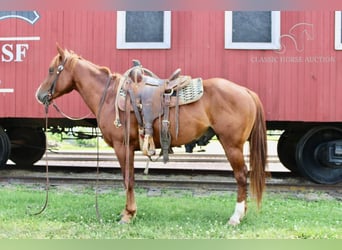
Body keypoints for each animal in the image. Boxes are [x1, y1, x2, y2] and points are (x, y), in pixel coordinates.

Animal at [36, 45, 268, 227]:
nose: (39, 95)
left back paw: (235, 217)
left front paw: (128, 215)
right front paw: (128, 212)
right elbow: (129, 179)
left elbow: (128, 179)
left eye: (51, 70)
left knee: (241, 176)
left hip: (232, 145)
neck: (108, 95)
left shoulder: (122, 147)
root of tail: (246, 91)